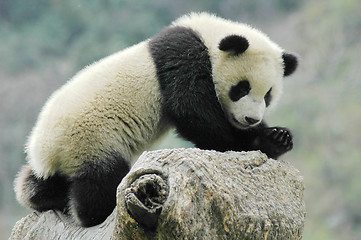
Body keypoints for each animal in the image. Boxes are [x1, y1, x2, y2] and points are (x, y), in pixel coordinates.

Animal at [14, 12, 296, 227]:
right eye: (242, 88)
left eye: (268, 95)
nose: (250, 118)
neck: (207, 36)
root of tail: (45, 152)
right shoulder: (184, 59)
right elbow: (192, 111)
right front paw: (252, 143)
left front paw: (278, 137)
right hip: (92, 138)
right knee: (100, 181)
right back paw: (93, 214)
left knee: (41, 183)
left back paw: (41, 196)